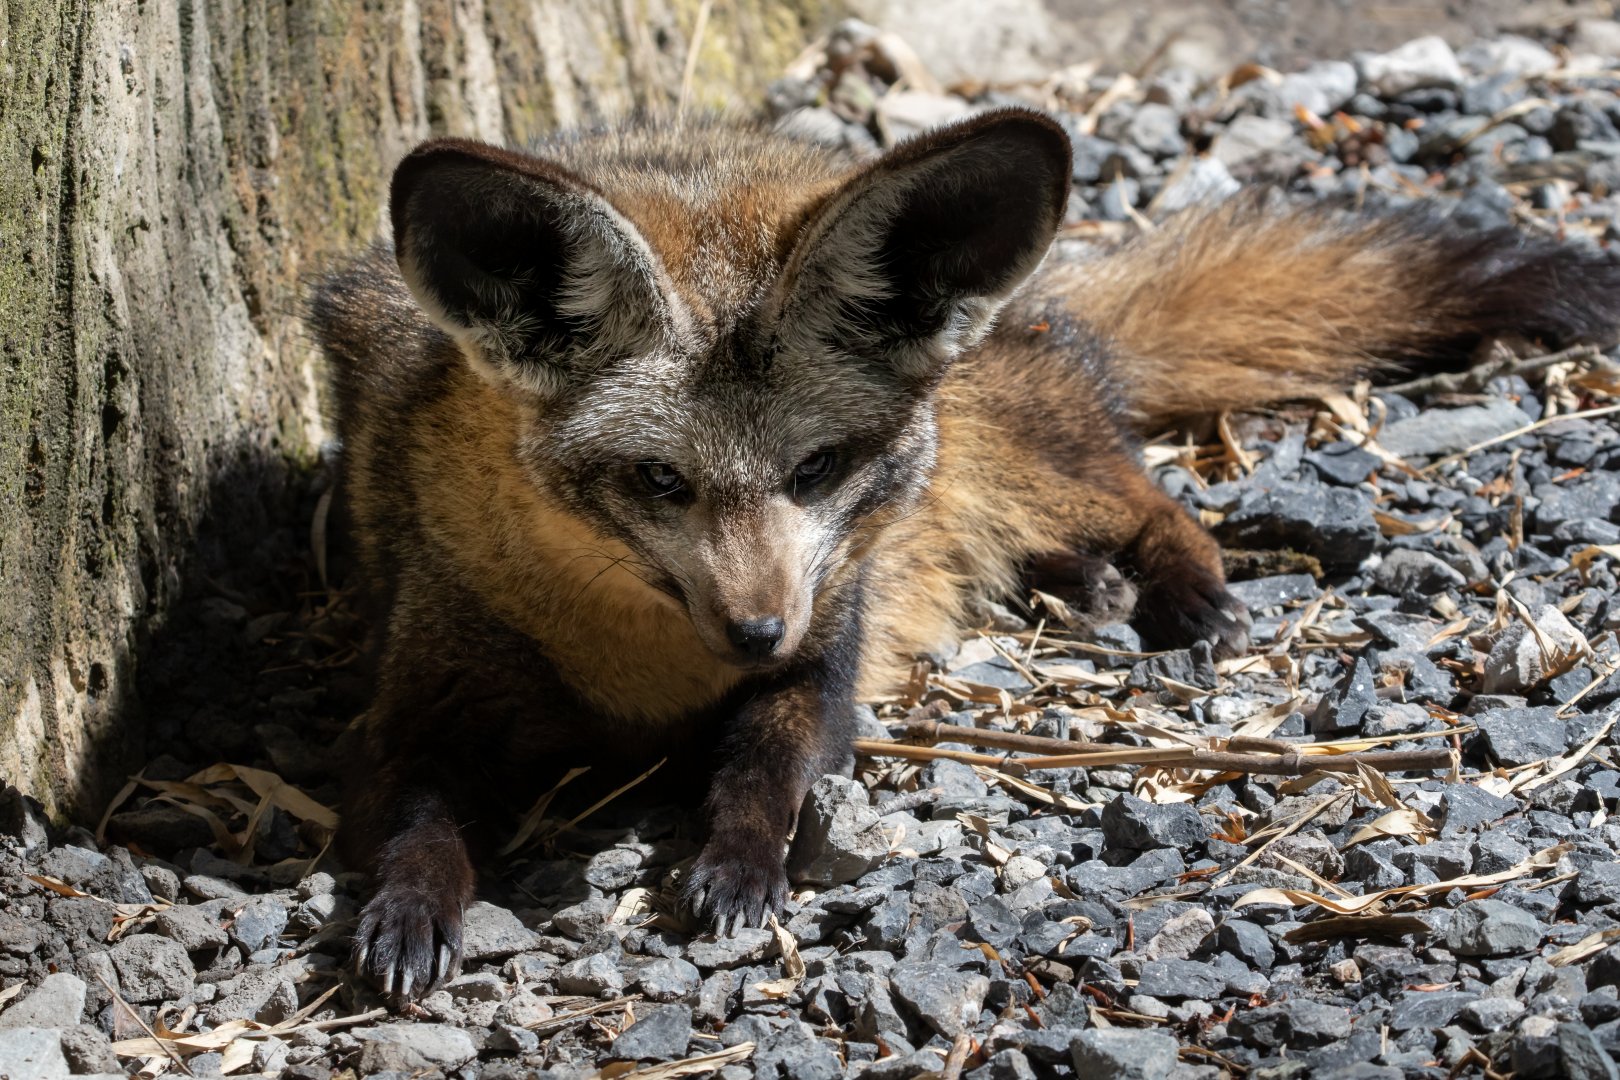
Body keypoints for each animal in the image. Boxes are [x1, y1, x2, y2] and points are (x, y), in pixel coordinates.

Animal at [310, 108, 1620, 1001]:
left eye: (816, 469)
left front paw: (737, 862)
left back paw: (1181, 590)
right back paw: (1085, 587)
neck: (641, 672)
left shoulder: (823, 665)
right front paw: (411, 908)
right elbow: (418, 824)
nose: (754, 632)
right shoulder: (416, 707)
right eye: (658, 482)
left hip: (1018, 454)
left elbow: (762, 770)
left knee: (1150, 494)